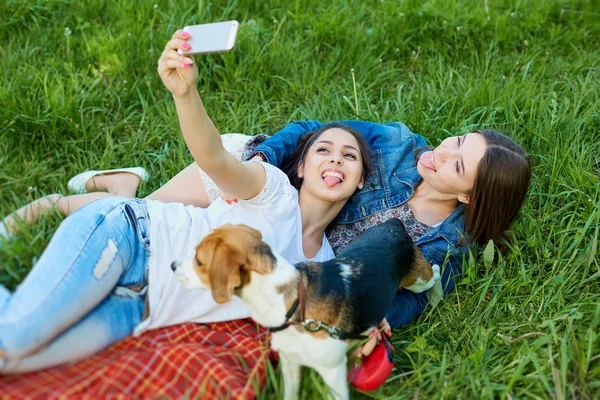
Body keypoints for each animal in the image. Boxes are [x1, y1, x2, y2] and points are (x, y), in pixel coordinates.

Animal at [171, 220, 438, 398]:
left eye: (199, 261)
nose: (172, 265)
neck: (295, 307)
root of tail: (393, 224)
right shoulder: (290, 363)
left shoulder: (333, 373)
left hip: (417, 279)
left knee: (434, 272)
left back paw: (436, 298)